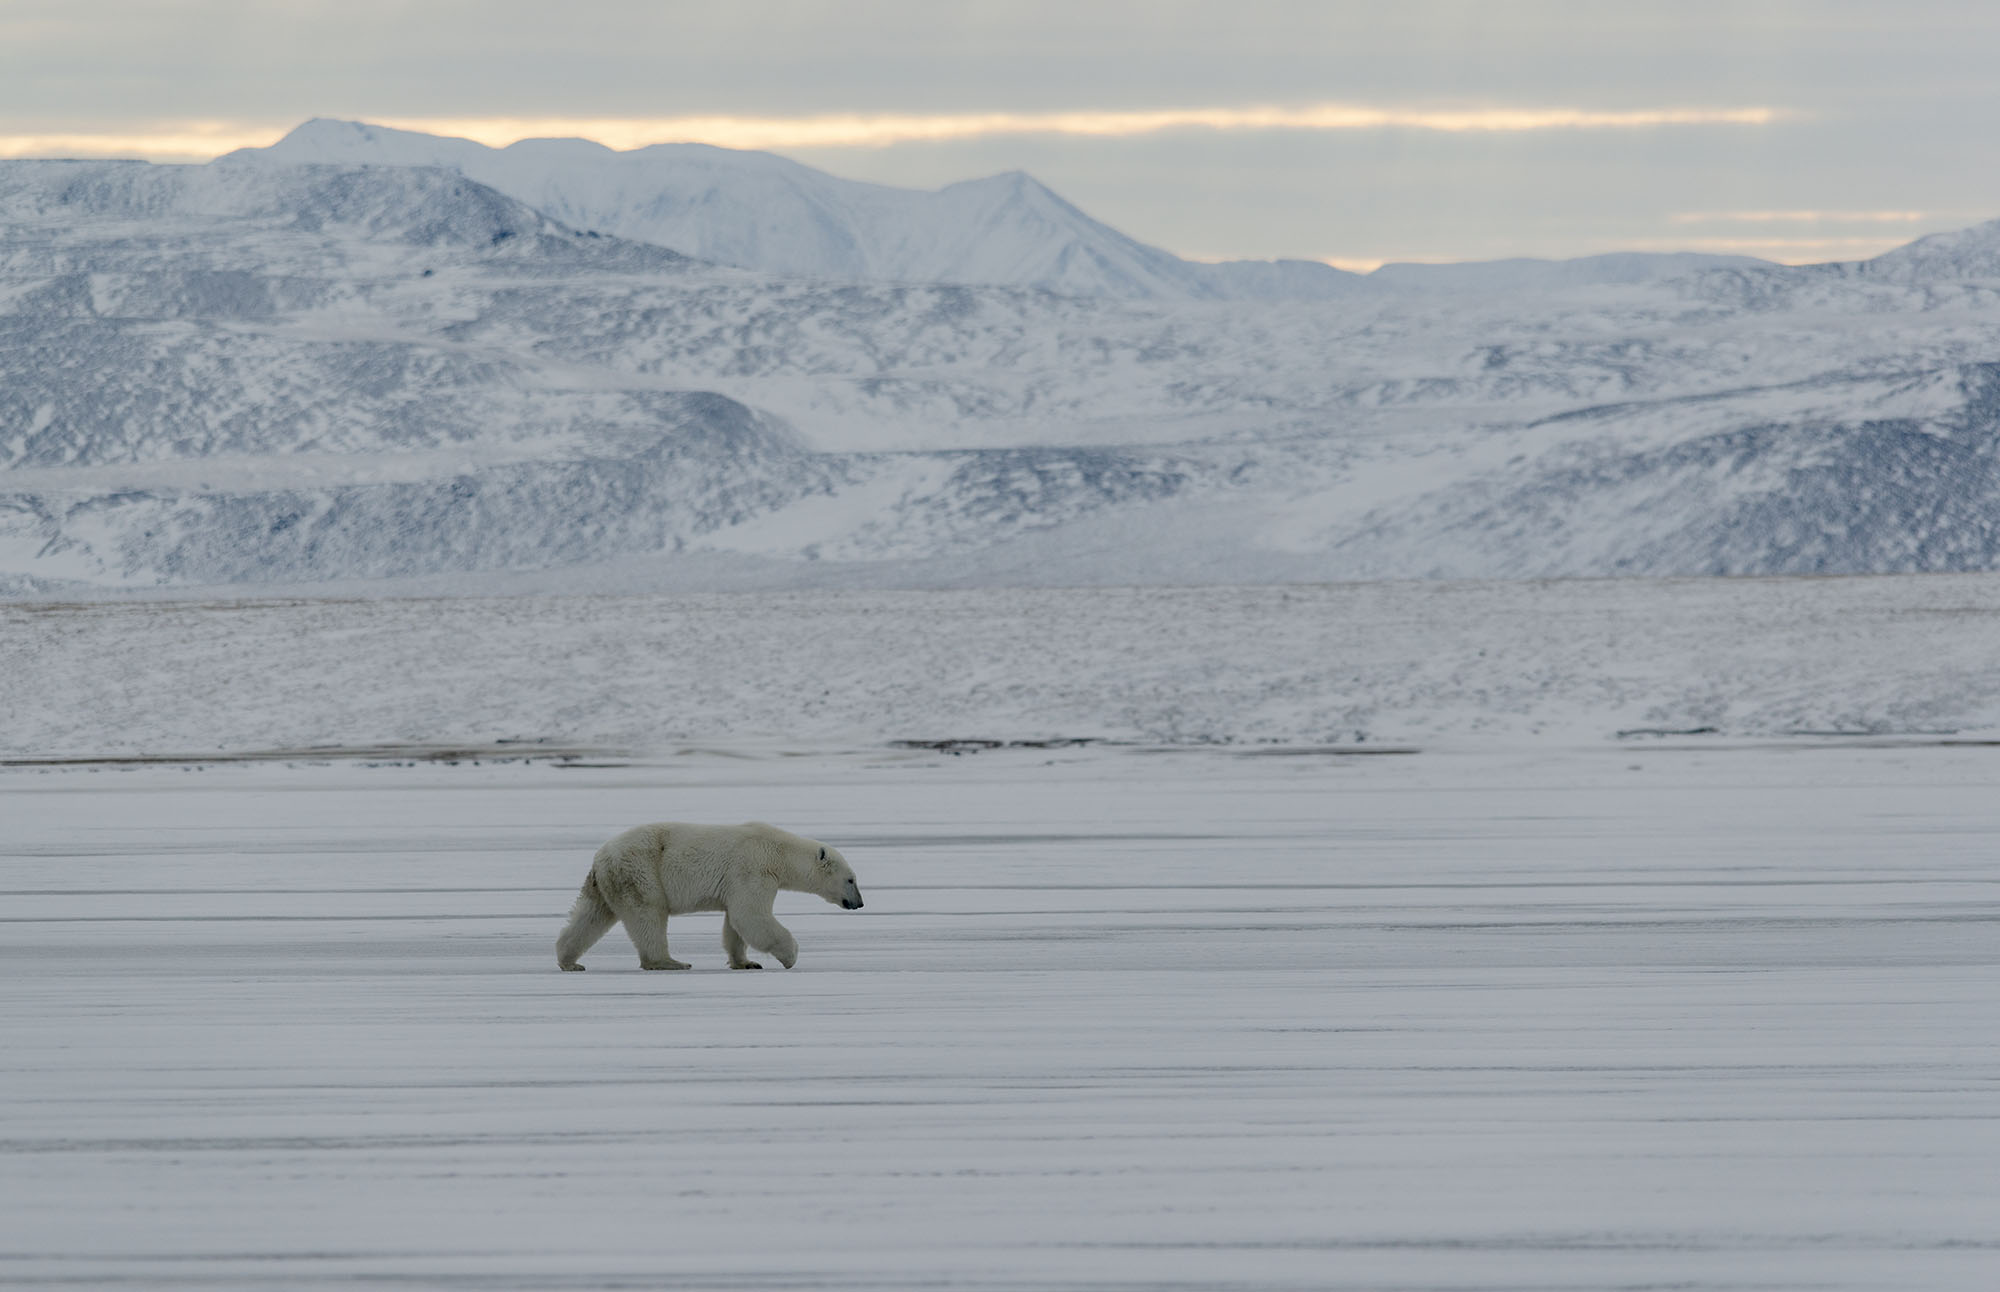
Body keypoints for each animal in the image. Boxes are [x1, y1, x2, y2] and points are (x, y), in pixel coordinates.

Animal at [556, 832, 860, 972]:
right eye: (851, 879)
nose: (859, 903)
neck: (779, 852)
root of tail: (600, 856)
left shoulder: (739, 880)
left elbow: (735, 923)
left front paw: (746, 963)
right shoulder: (753, 868)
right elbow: (750, 915)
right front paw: (791, 956)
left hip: (606, 881)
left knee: (591, 915)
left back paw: (569, 961)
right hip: (640, 872)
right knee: (648, 915)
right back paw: (670, 962)